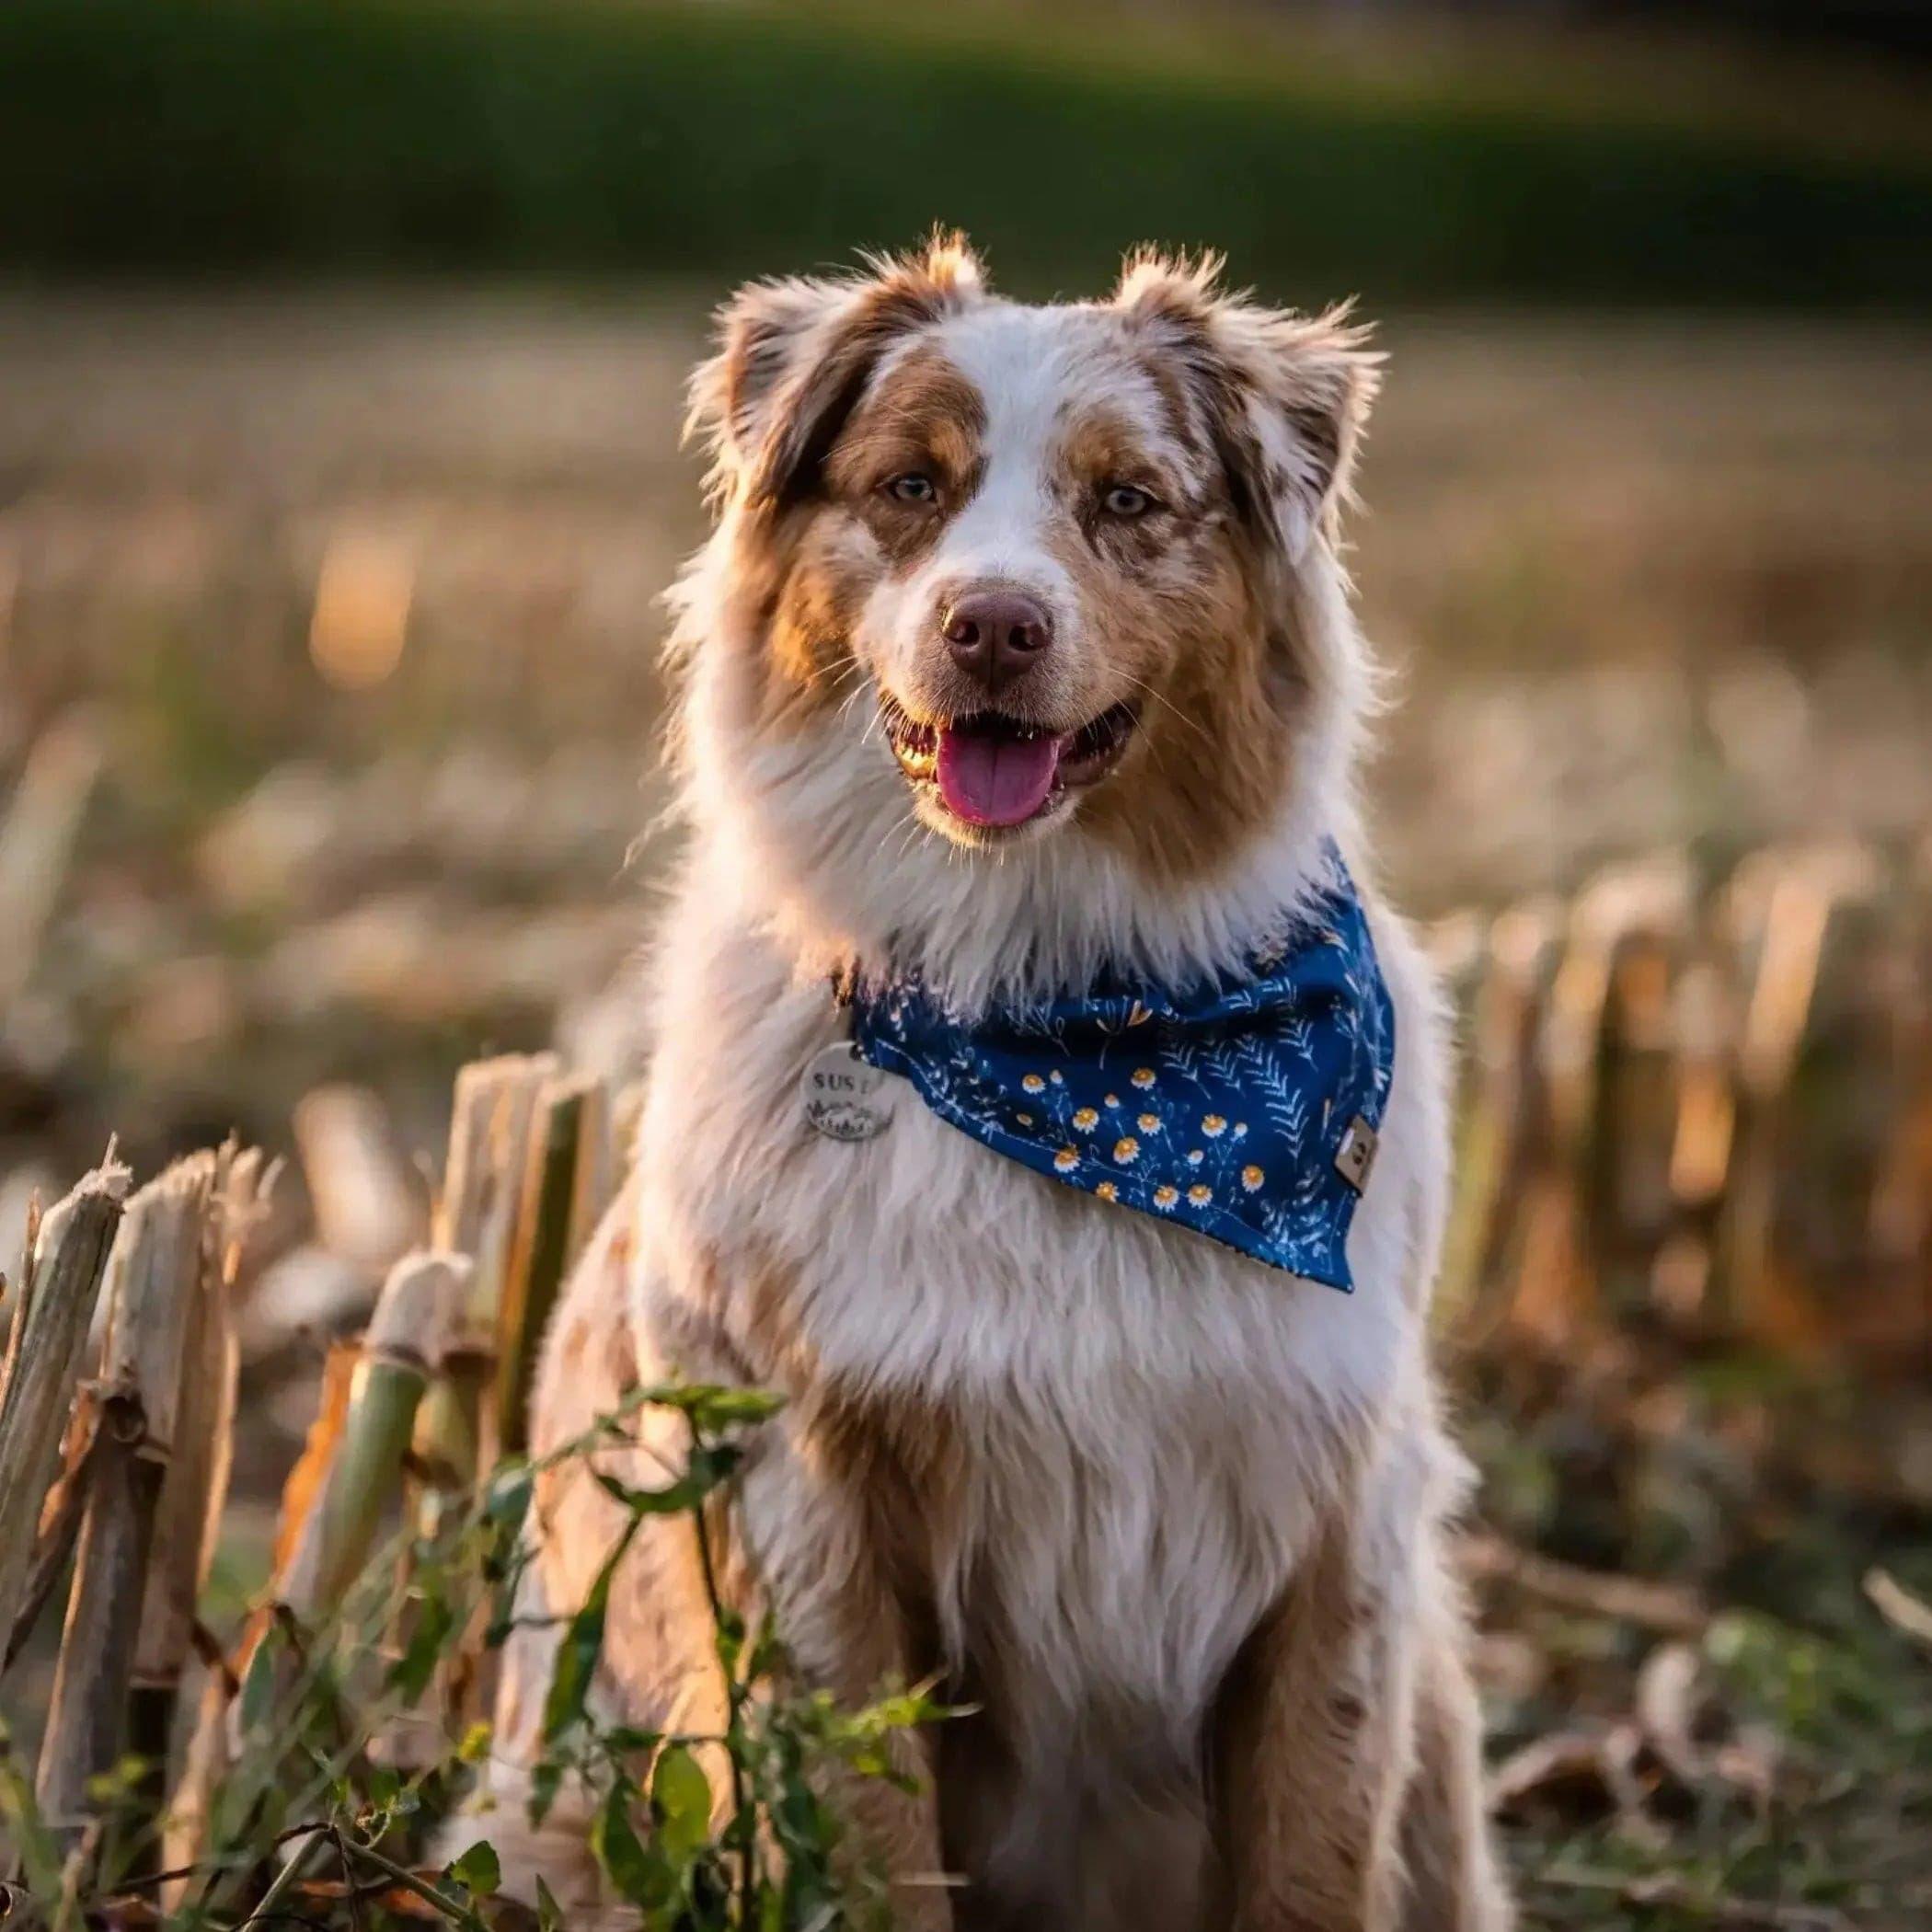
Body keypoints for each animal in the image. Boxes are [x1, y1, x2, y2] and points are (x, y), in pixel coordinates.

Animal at [475, 241, 1514, 1932]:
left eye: (1129, 500)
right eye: (911, 484)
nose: (993, 628)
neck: (1061, 1020)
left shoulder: (1336, 1520)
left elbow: (1309, 1854)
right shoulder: (804, 1506)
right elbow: (870, 1842)